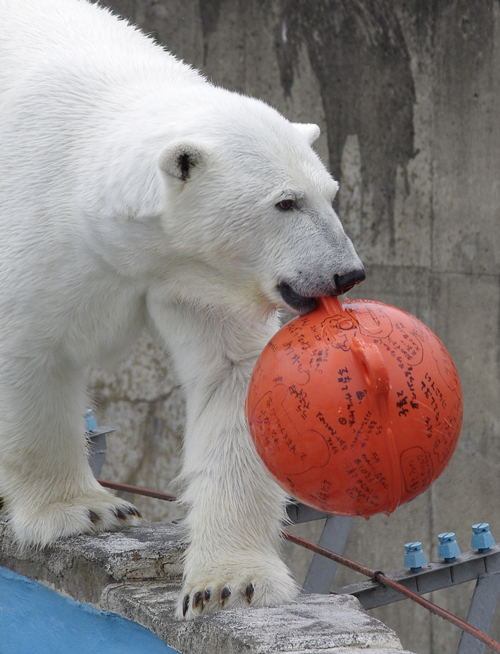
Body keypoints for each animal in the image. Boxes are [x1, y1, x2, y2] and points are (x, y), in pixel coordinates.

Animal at [0, 0, 364, 620]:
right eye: (285, 202)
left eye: (330, 193)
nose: (346, 273)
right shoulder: (38, 227)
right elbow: (31, 350)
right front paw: (83, 509)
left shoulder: (200, 279)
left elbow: (232, 375)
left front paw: (227, 583)